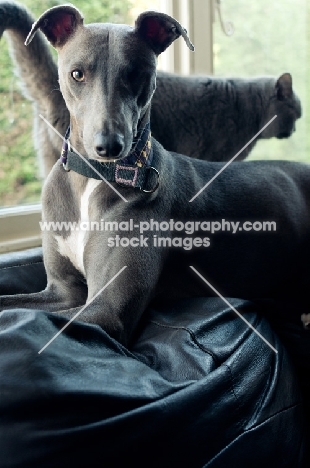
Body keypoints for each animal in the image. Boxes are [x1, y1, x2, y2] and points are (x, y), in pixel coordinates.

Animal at [0, 3, 310, 344]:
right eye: (77, 74)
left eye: (137, 74)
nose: (109, 146)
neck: (94, 180)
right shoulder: (62, 291)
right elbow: (12, 304)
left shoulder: (106, 309)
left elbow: (20, 316)